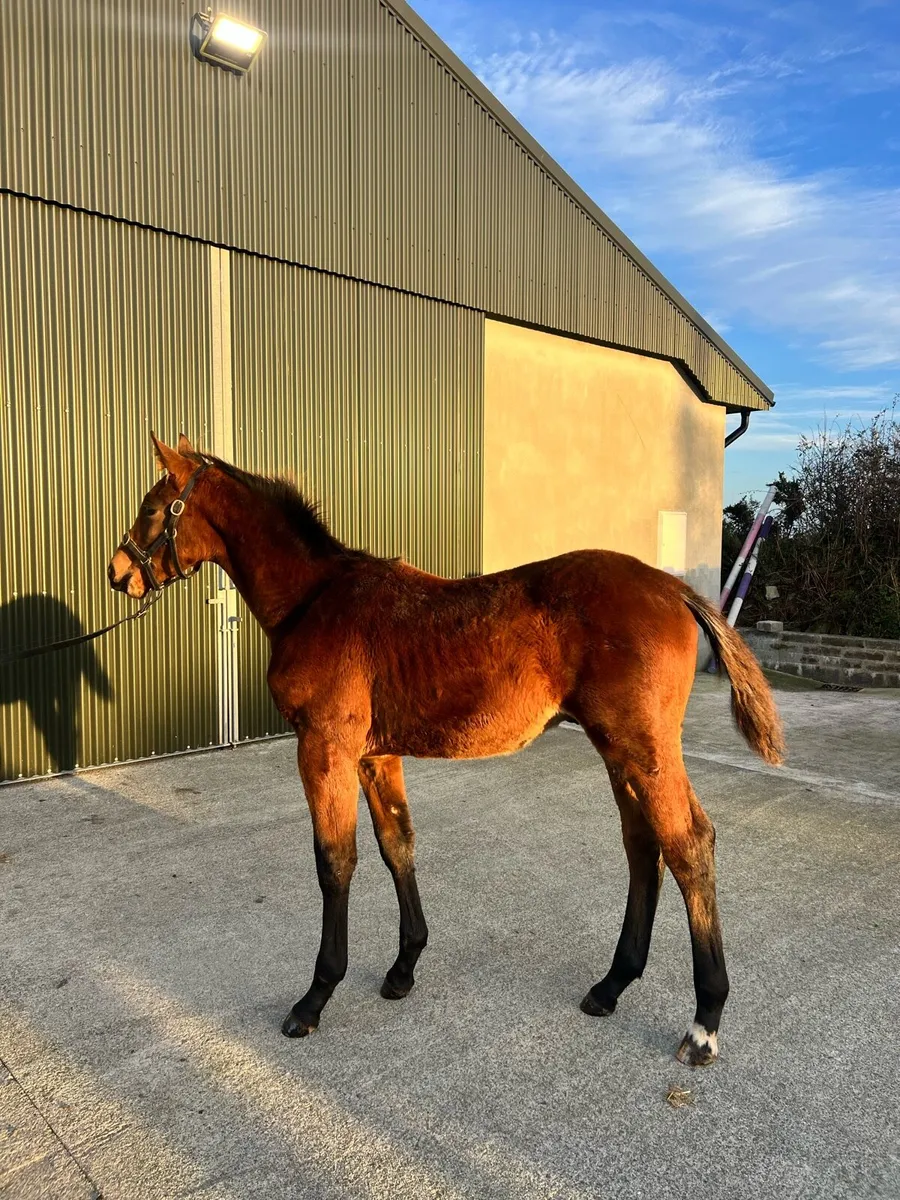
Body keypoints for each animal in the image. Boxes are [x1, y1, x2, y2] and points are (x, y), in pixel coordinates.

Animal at [108, 434, 783, 1065]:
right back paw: (611, 985)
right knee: (645, 849)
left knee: (688, 844)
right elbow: (396, 844)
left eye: (152, 508)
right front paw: (404, 967)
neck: (314, 600)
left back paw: (704, 1022)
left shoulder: (323, 748)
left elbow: (335, 863)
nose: (119, 572)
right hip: (619, 752)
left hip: (643, 749)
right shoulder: (374, 755)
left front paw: (315, 997)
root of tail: (671, 587)